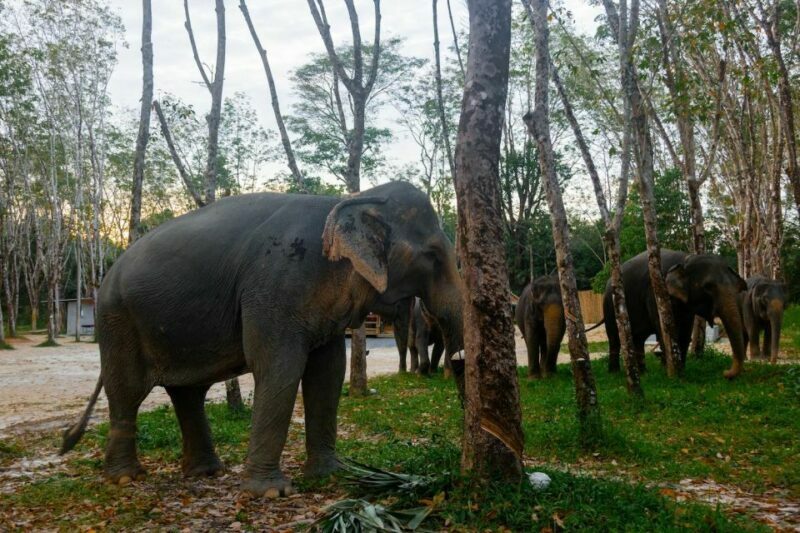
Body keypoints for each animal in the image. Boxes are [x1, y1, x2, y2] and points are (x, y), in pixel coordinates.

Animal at [60, 181, 464, 497]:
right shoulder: (275, 285)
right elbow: (279, 365)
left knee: (188, 392)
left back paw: (206, 472)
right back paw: (125, 479)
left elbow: (328, 372)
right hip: (117, 319)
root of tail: (106, 275)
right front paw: (272, 492)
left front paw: (332, 474)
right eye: (432, 255)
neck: (351, 197)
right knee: (127, 391)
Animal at [603, 250, 747, 379]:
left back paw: (644, 373)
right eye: (708, 287)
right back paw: (614, 373)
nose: (725, 372)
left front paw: (681, 372)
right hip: (610, 305)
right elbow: (664, 331)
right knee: (614, 338)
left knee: (639, 338)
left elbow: (685, 333)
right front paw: (669, 373)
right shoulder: (657, 293)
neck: (686, 259)